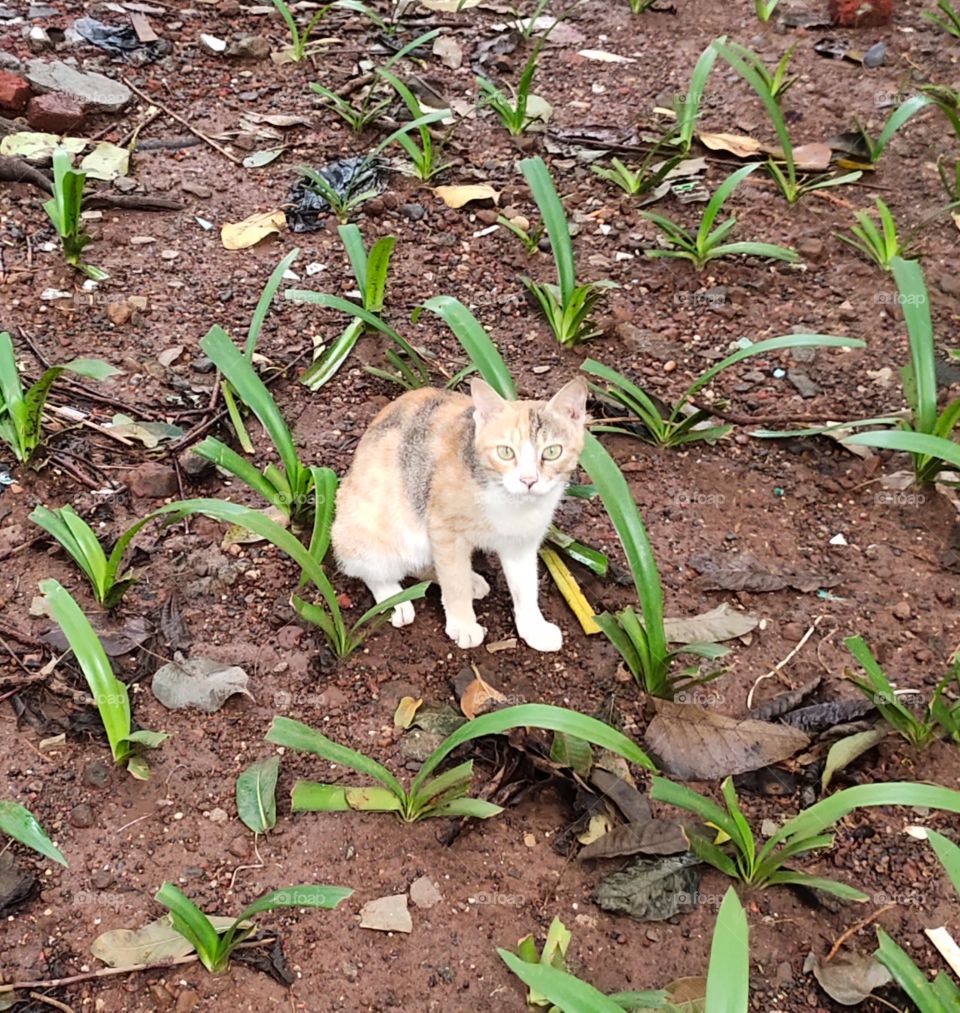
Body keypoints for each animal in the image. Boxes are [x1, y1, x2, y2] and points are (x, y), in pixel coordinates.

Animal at [330, 376, 583, 652]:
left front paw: (533, 627)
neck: (512, 503)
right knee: (372, 570)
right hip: (367, 530)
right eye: (505, 452)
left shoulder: (522, 542)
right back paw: (394, 600)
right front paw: (463, 625)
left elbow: (526, 587)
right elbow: (454, 581)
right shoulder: (445, 531)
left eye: (552, 451)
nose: (529, 480)